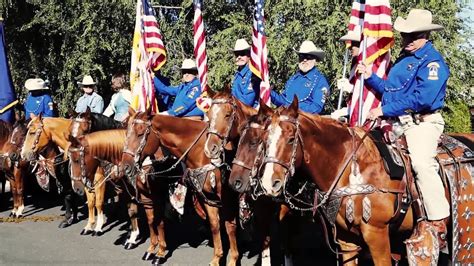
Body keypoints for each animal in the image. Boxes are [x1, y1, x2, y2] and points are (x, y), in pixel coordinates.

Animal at [120, 109, 241, 266]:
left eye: (140, 133)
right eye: (127, 131)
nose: (125, 166)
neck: (201, 152)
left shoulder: (225, 199)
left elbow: (230, 226)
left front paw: (160, 253)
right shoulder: (148, 197)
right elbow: (152, 220)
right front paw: (152, 249)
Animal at [260, 98, 474, 264]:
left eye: (290, 139)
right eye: (264, 140)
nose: (269, 184)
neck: (351, 168)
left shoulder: (377, 235)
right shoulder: (346, 240)